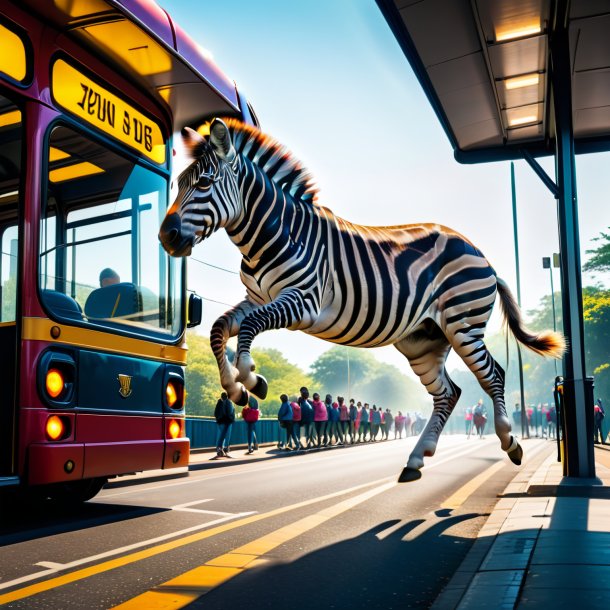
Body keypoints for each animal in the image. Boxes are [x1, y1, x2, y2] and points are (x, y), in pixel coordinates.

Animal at [159, 117, 564, 480]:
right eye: (179, 184)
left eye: (205, 183)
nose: (166, 236)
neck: (270, 234)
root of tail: (482, 255)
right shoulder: (256, 296)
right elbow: (218, 328)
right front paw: (236, 388)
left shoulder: (303, 301)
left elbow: (249, 328)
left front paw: (251, 378)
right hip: (423, 340)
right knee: (448, 392)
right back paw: (416, 460)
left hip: (463, 323)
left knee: (494, 374)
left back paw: (510, 441)